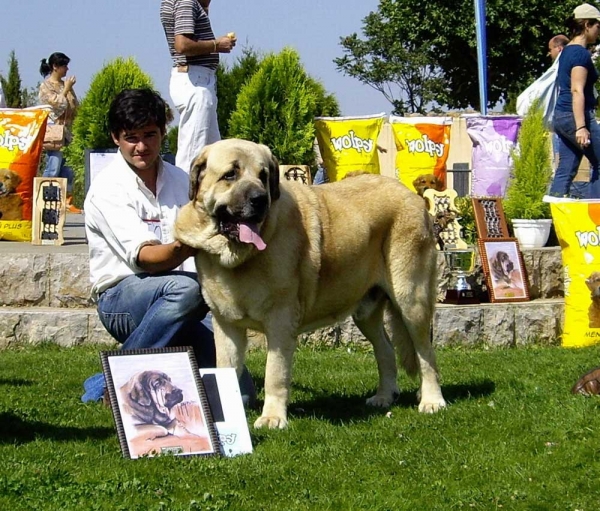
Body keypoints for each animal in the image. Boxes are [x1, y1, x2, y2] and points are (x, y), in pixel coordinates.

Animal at [175, 138, 446, 430]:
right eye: (230, 175)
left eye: (263, 176)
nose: (260, 199)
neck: (238, 257)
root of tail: (411, 196)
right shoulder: (227, 324)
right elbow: (225, 367)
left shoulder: (280, 322)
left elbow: (274, 373)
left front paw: (272, 417)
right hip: (366, 311)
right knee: (385, 349)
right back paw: (384, 397)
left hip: (411, 299)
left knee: (426, 353)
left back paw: (432, 400)